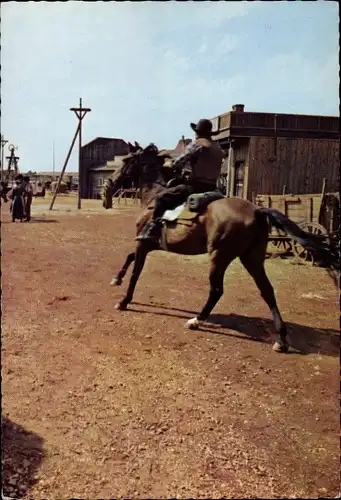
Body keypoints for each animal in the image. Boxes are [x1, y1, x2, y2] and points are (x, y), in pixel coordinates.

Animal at [110, 143, 338, 354]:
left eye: (127, 160)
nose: (112, 181)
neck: (155, 196)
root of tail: (257, 210)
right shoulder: (149, 245)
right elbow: (130, 258)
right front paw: (117, 279)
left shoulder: (143, 243)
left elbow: (136, 273)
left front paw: (124, 301)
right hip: (252, 258)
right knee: (267, 291)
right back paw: (281, 340)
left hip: (219, 257)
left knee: (217, 290)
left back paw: (197, 320)